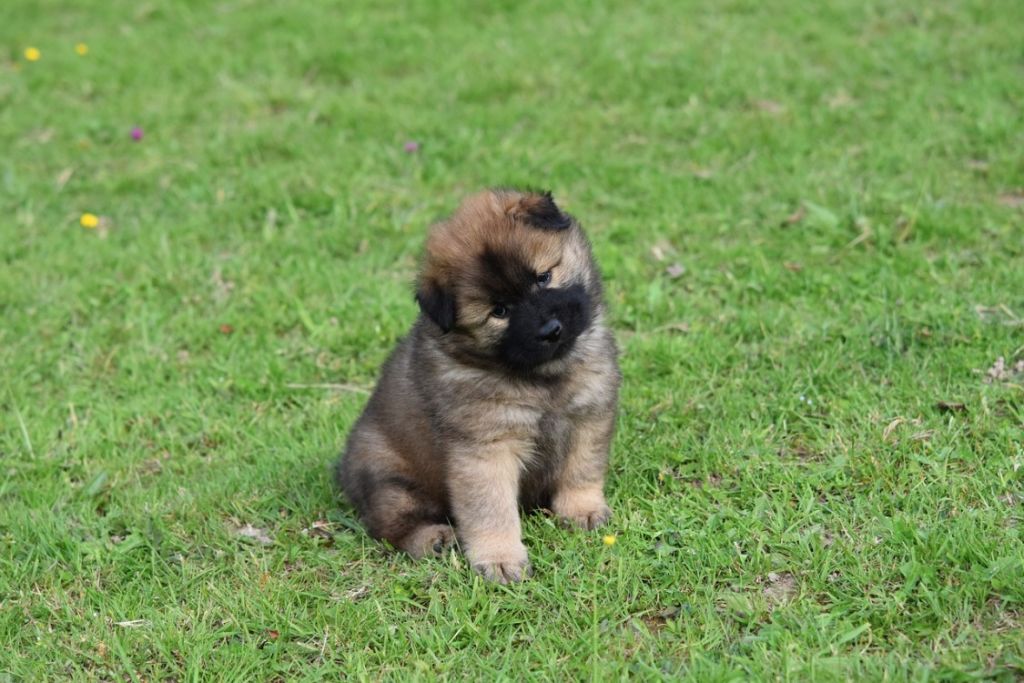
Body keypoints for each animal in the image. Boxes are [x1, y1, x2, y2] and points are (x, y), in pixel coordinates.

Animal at [339, 189, 618, 585]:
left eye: (544, 277)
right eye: (499, 311)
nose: (551, 330)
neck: (541, 377)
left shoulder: (588, 416)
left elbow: (581, 469)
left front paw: (583, 510)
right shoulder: (485, 448)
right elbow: (491, 509)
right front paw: (499, 558)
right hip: (390, 482)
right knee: (392, 526)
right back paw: (434, 538)